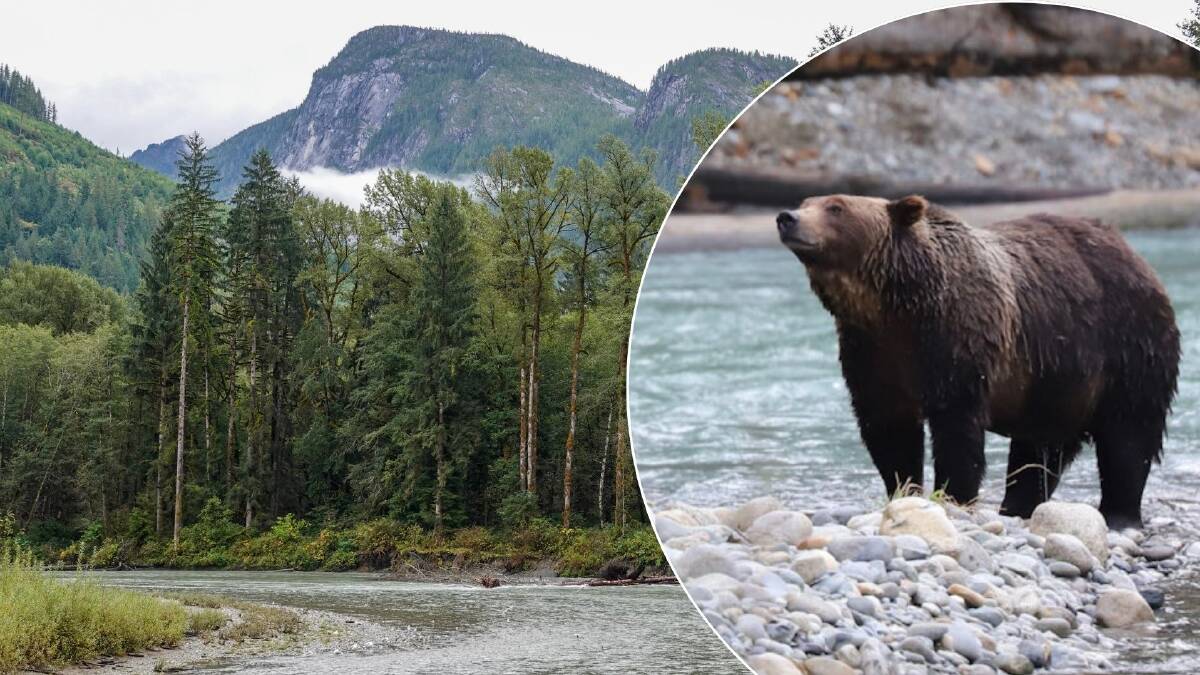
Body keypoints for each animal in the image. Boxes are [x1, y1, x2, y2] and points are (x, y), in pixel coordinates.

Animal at [775, 194, 1180, 529]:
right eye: (807, 201)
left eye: (836, 207)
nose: (787, 217)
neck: (896, 306)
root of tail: (1134, 255)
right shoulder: (871, 353)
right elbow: (888, 427)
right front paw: (903, 488)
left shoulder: (958, 340)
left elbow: (957, 429)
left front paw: (953, 495)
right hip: (1055, 380)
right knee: (1040, 450)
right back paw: (1018, 506)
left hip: (1126, 346)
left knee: (1128, 437)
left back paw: (1120, 514)